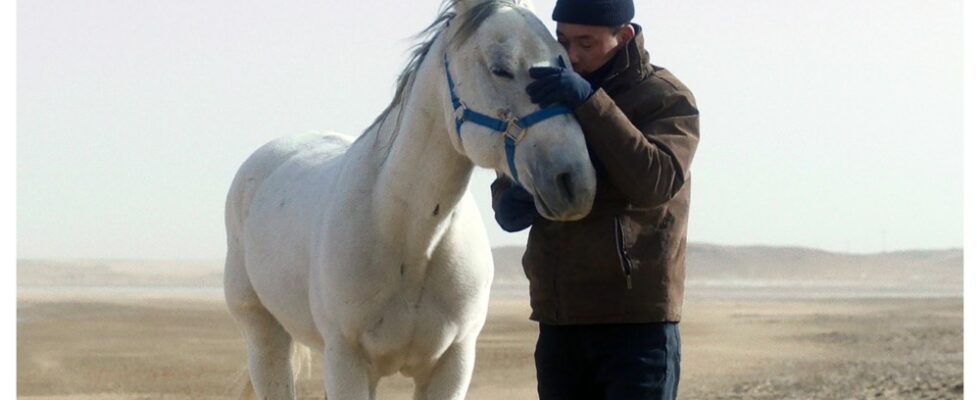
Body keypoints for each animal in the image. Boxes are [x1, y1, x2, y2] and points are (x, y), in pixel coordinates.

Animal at [225, 1, 592, 398]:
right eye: (501, 68)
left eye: (564, 62)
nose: (574, 180)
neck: (409, 238)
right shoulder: (347, 362)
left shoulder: (452, 365)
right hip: (265, 336)